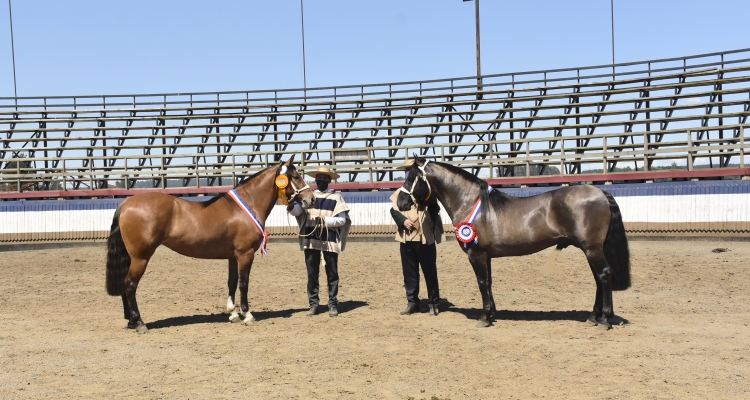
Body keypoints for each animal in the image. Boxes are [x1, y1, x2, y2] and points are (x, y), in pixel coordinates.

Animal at [106, 157, 318, 334]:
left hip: (132, 258)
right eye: (296, 176)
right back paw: (139, 323)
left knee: (125, 285)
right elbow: (244, 283)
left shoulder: (233, 256)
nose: (312, 199)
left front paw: (233, 314)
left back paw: (131, 321)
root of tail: (125, 203)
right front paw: (247, 314)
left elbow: (232, 282)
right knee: (130, 285)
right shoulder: (245, 254)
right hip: (140, 257)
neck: (246, 206)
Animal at [396, 155, 632, 328]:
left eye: (411, 178)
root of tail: (599, 191)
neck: (471, 203)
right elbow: (489, 282)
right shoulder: (486, 255)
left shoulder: (476, 255)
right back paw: (594, 316)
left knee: (604, 276)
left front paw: (484, 317)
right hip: (592, 249)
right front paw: (491, 313)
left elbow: (482, 283)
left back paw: (604, 319)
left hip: (592, 249)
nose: (400, 202)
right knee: (599, 279)